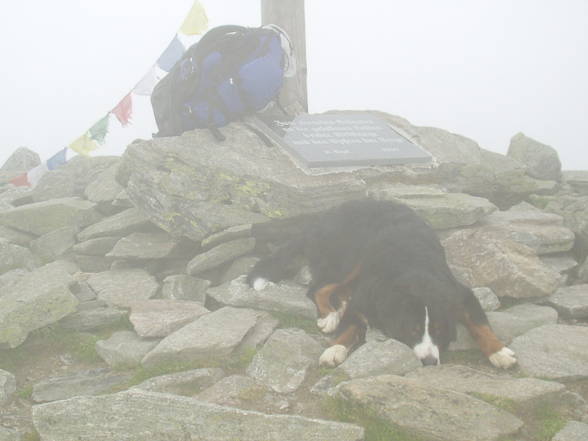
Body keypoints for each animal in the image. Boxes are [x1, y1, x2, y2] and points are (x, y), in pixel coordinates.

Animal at [246, 199, 516, 368]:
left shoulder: (460, 294)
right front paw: (334, 349)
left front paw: (499, 352)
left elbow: (480, 324)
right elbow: (349, 326)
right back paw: (330, 315)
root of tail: (323, 217)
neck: (414, 268)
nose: (430, 362)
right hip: (349, 258)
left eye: (439, 331)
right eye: (412, 331)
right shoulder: (365, 300)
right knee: (318, 288)